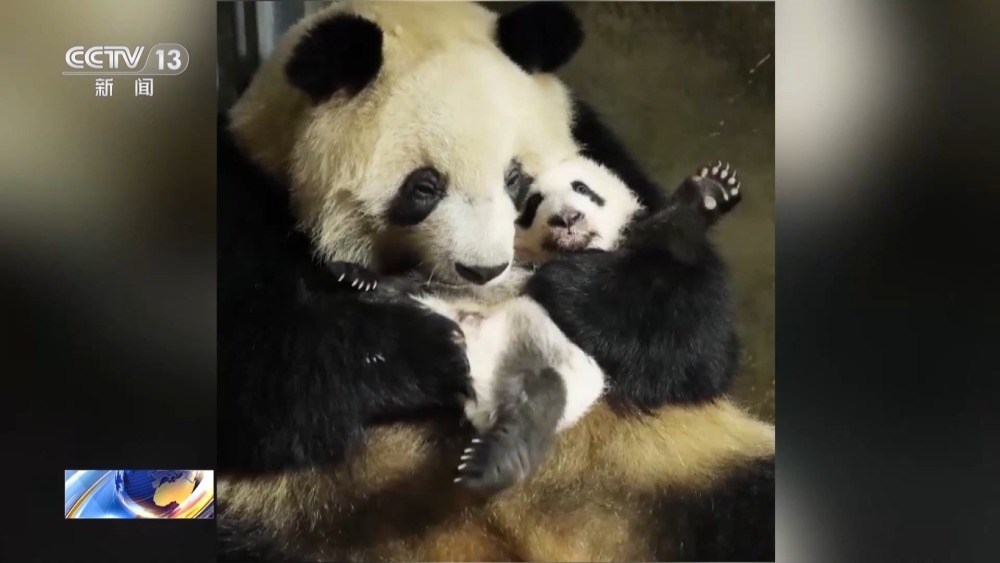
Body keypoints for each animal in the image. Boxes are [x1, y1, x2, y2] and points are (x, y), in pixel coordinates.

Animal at [324, 156, 744, 493]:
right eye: (533, 204)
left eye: (583, 189)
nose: (567, 218)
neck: (558, 255)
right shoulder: (497, 270)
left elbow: (659, 246)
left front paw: (709, 192)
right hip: (441, 301)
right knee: (410, 289)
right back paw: (359, 281)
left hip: (548, 358)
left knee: (542, 397)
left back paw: (496, 461)